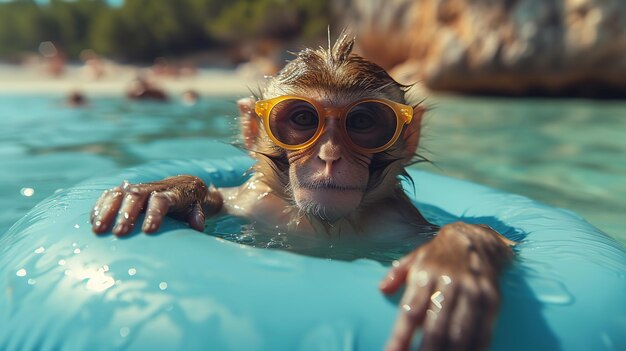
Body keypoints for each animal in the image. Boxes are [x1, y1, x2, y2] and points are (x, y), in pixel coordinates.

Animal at [91, 33, 512, 351]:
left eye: (364, 123)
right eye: (302, 118)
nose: (330, 156)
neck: (326, 225)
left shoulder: (401, 223)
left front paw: (453, 258)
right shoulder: (254, 202)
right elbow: (221, 198)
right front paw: (170, 189)